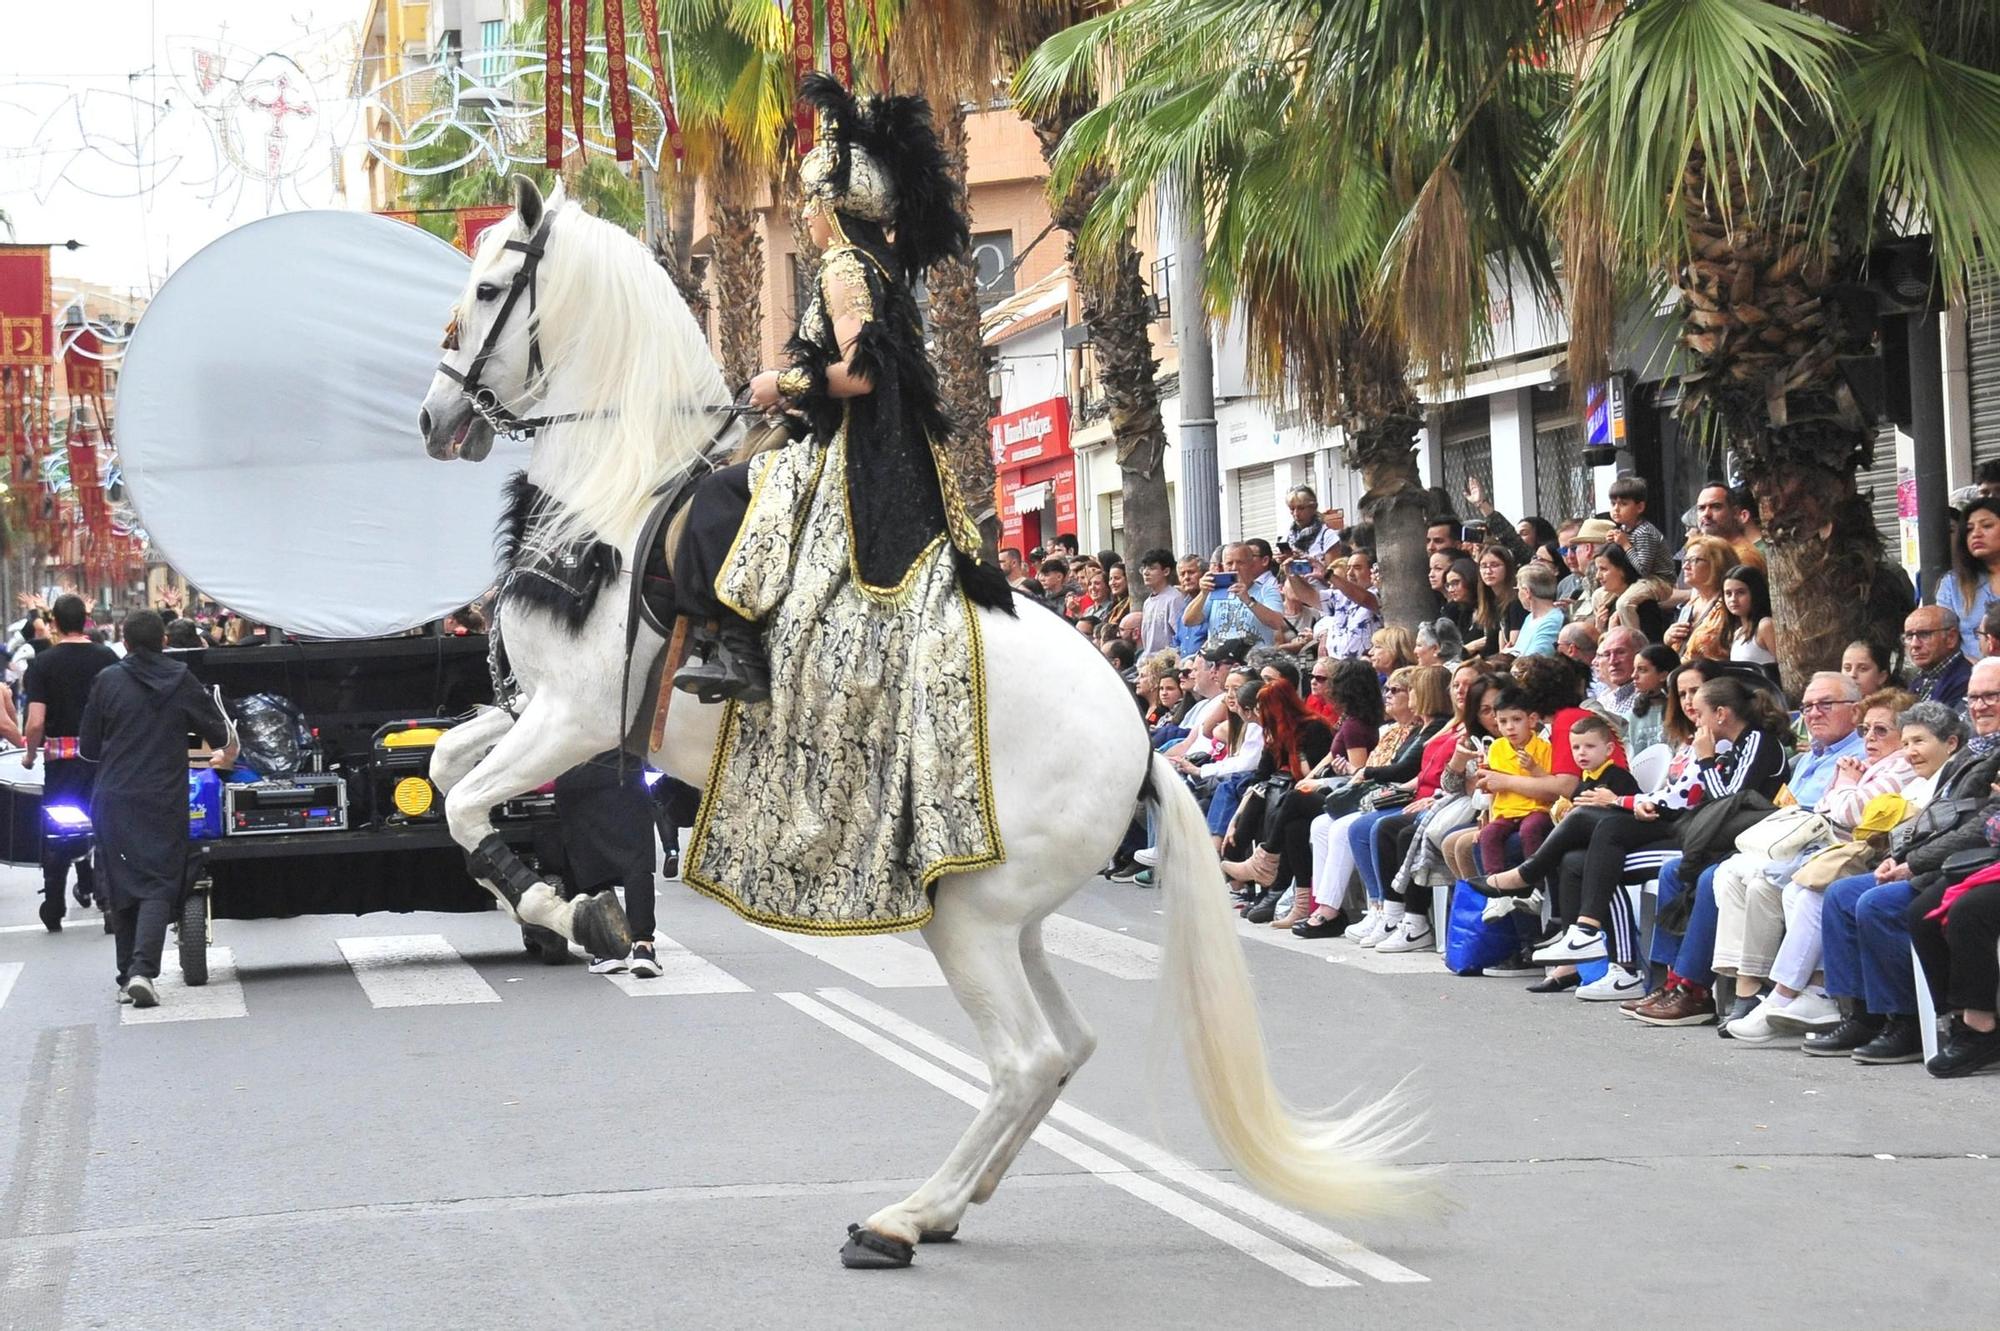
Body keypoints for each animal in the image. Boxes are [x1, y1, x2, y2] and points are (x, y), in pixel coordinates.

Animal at [414, 178, 1432, 1263]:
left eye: (487, 287)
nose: (436, 416)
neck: (616, 497)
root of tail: (1138, 745)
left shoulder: (571, 718)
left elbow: (471, 809)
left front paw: (572, 907)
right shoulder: (544, 714)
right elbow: (445, 769)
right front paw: (559, 898)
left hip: (967, 917)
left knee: (1026, 1054)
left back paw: (901, 1217)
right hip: (1013, 914)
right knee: (1064, 1046)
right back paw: (947, 1202)